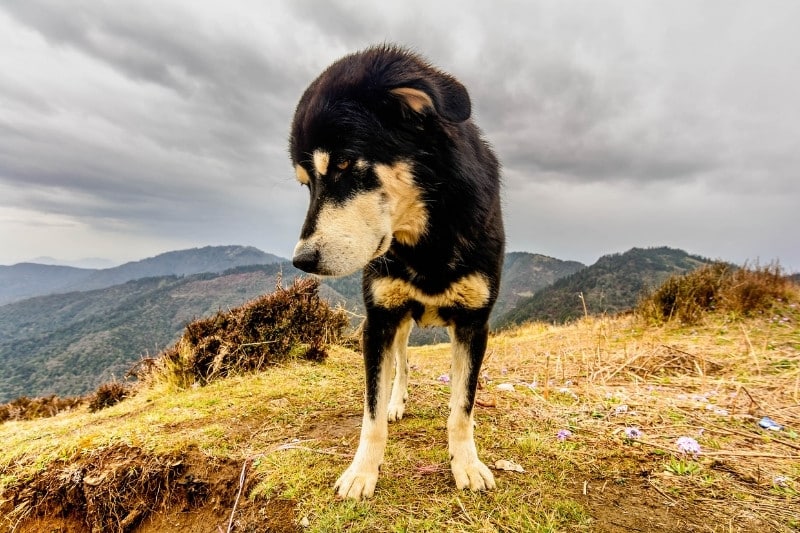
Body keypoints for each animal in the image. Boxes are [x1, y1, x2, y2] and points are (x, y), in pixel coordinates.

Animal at [288, 44, 504, 498]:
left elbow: (462, 407)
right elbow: (370, 412)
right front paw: (363, 472)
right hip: (399, 322)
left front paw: (466, 464)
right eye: (305, 184)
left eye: (344, 163)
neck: (426, 241)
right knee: (402, 362)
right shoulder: (379, 321)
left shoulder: (474, 323)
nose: (301, 261)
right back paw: (396, 401)